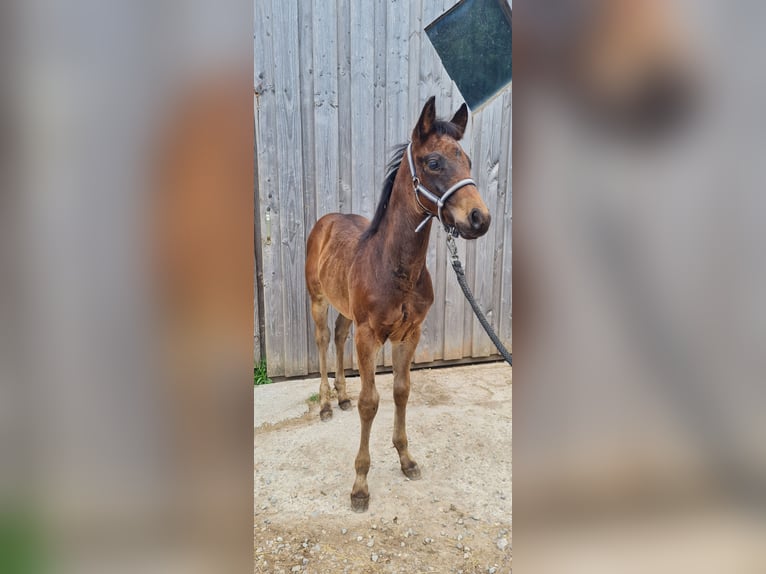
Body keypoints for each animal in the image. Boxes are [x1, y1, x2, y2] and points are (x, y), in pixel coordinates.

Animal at [305, 96, 491, 512]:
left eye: (469, 161)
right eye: (434, 162)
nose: (480, 218)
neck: (397, 268)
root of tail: (326, 220)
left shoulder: (410, 334)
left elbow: (401, 392)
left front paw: (406, 459)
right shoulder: (369, 335)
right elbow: (370, 402)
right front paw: (360, 485)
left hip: (346, 310)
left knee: (338, 337)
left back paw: (340, 397)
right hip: (318, 300)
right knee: (323, 341)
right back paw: (325, 404)